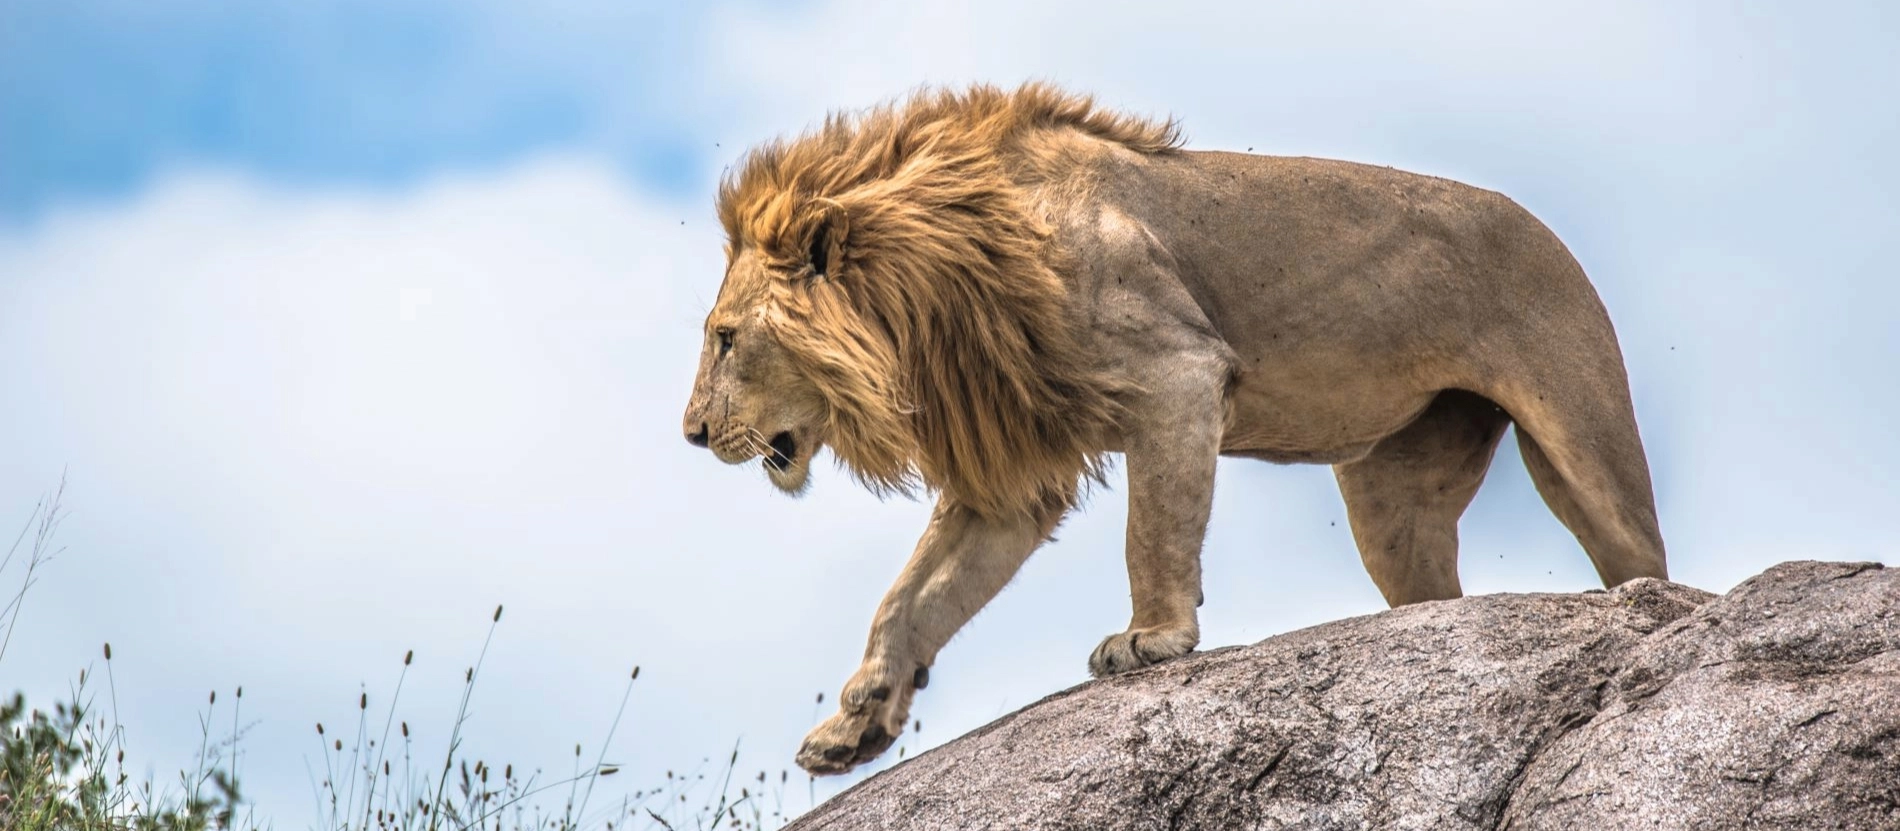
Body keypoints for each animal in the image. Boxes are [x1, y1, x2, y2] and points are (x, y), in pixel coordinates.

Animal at [680, 82, 1664, 772]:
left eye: (726, 338)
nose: (690, 433)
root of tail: (1551, 235)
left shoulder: (1177, 374)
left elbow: (1152, 530)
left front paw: (1150, 641)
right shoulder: (1013, 476)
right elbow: (911, 596)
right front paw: (853, 725)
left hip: (1585, 437)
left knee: (1644, 559)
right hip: (1392, 504)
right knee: (1433, 594)